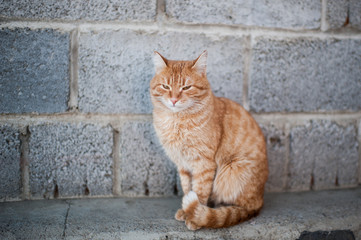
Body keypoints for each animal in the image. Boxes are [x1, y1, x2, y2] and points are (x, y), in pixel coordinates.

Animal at [149, 50, 268, 231]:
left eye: (186, 87)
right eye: (166, 86)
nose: (174, 100)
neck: (177, 120)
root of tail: (260, 200)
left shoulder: (204, 164)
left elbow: (200, 191)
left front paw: (194, 217)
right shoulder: (183, 165)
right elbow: (187, 188)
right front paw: (186, 211)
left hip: (232, 171)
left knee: (240, 207)